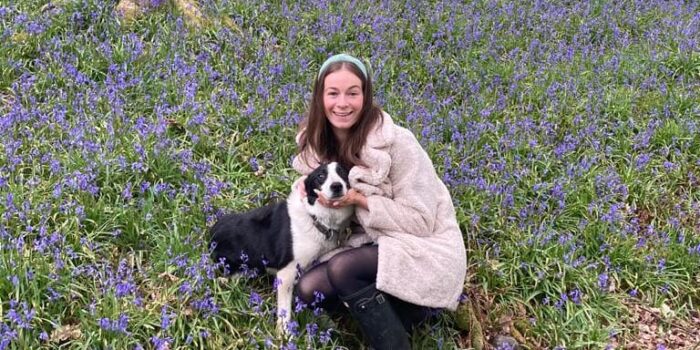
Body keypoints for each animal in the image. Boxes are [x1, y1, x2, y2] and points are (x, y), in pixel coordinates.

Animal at [209, 163, 356, 332]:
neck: (315, 218)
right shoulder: (287, 272)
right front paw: (284, 334)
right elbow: (284, 313)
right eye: (320, 176)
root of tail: (211, 233)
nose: (336, 186)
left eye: (343, 172)